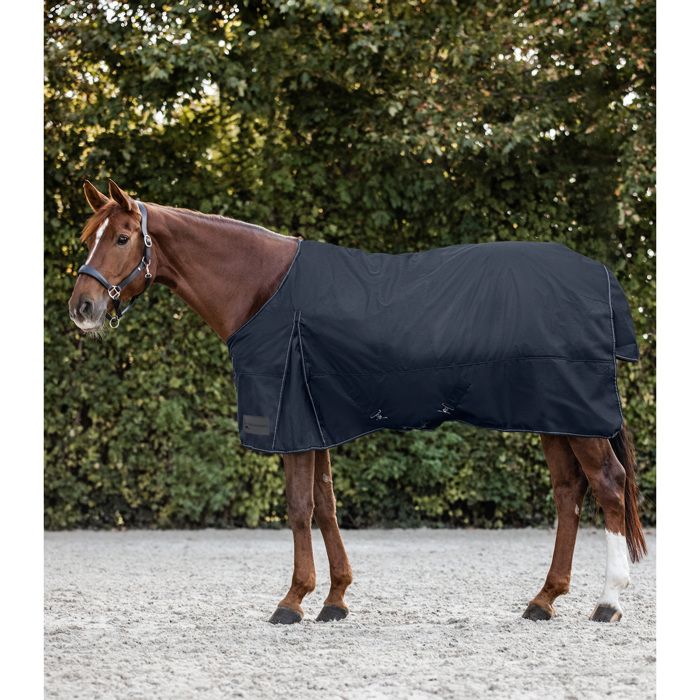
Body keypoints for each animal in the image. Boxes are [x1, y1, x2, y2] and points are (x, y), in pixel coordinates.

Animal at [68, 179, 647, 625]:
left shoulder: (292, 421)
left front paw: (292, 601)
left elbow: (299, 508)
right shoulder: (314, 419)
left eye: (122, 237)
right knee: (569, 493)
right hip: (556, 417)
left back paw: (608, 603)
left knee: (608, 485)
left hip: (579, 419)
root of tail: (599, 276)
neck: (263, 288)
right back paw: (544, 600)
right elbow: (325, 506)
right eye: (86, 237)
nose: (83, 307)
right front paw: (336, 598)